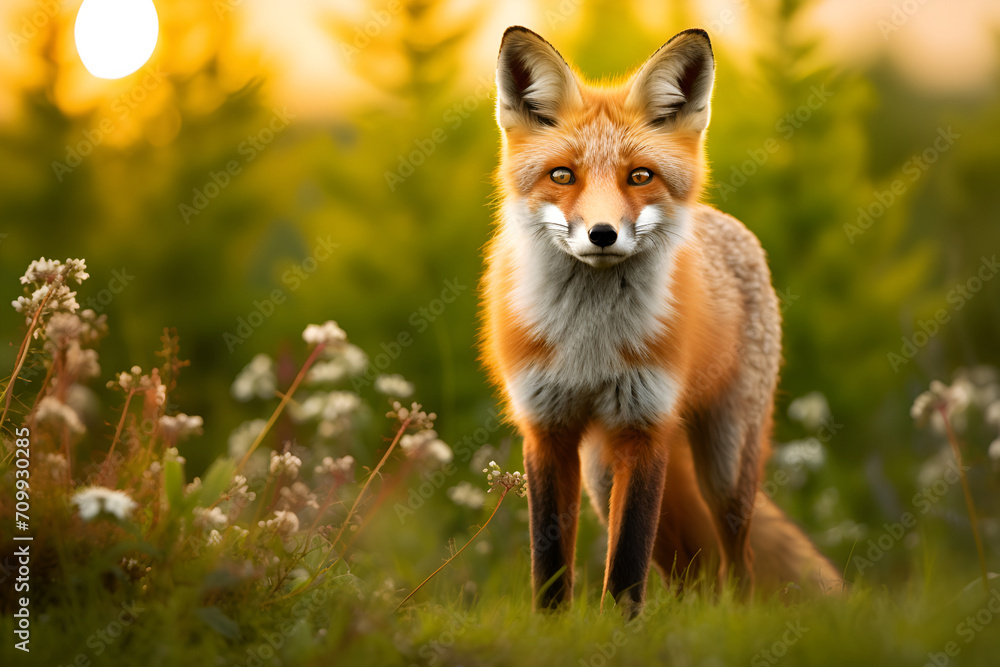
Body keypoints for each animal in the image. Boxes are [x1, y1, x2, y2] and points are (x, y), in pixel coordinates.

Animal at [480, 26, 843, 616]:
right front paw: (553, 627)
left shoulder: (644, 425)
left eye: (640, 176)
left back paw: (733, 616)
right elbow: (550, 561)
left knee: (734, 560)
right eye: (562, 175)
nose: (602, 234)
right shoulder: (547, 426)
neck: (591, 342)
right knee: (690, 570)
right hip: (602, 475)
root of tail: (731, 226)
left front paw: (616, 628)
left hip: (724, 462)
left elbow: (628, 562)